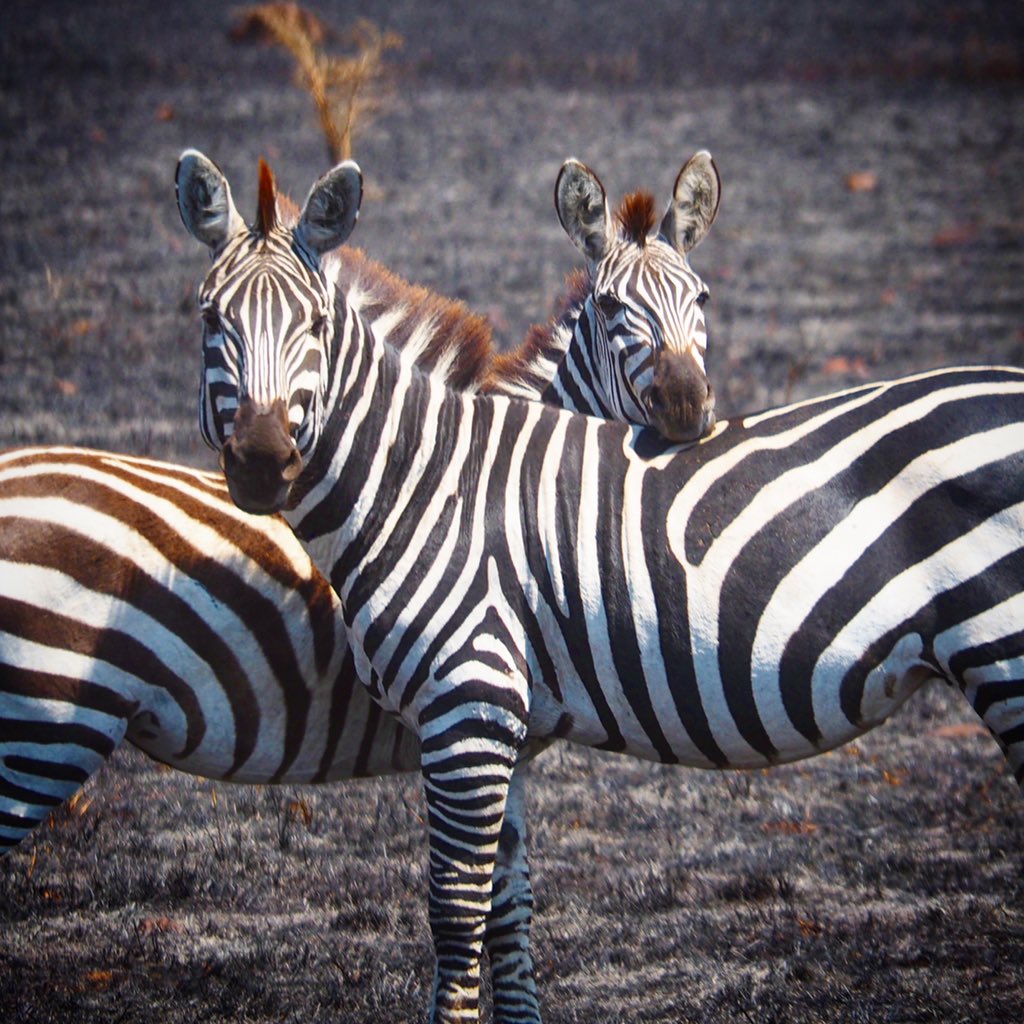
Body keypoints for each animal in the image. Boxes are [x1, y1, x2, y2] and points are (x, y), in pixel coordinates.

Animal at [179, 151, 1024, 1022]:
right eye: (209, 319)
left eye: (314, 325)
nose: (260, 463)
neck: (424, 481)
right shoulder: (505, 726)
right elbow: (506, 905)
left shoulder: (468, 705)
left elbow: (454, 909)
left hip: (1005, 646)